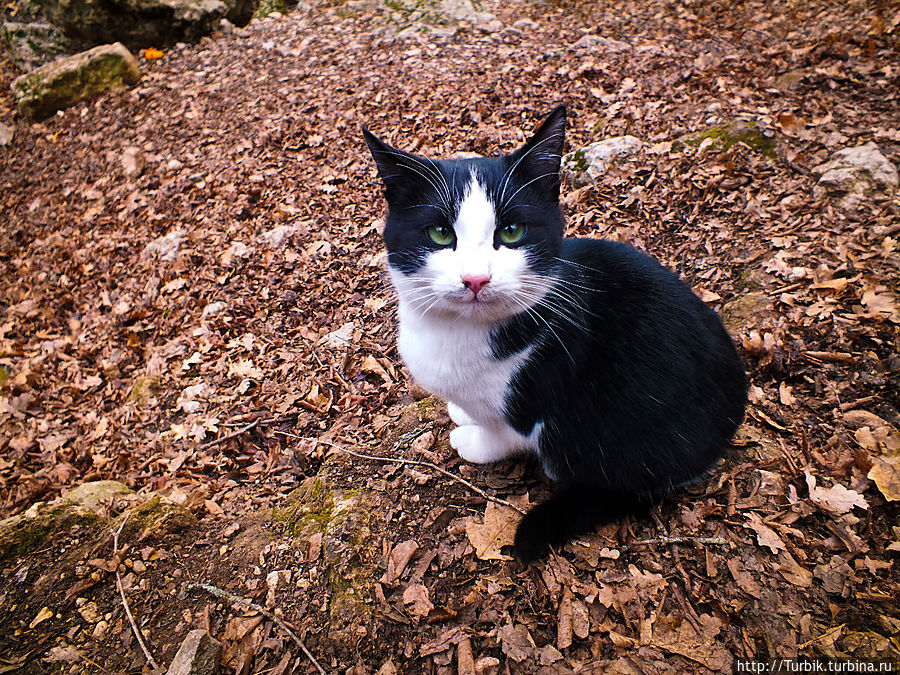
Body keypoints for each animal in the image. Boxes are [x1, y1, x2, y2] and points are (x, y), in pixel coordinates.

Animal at [362, 105, 748, 564]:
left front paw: (474, 441)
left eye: (511, 232)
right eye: (440, 234)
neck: (458, 331)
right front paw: (462, 413)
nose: (476, 279)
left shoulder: (533, 408)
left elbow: (504, 433)